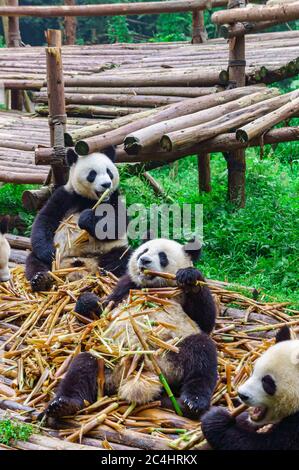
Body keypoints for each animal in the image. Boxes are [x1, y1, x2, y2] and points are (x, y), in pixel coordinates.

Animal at [24, 147, 130, 292]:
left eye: (109, 172)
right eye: (92, 174)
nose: (106, 184)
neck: (89, 200)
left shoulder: (114, 198)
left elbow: (118, 224)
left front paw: (87, 218)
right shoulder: (65, 195)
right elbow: (45, 219)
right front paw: (49, 252)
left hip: (111, 250)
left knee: (123, 257)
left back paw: (105, 272)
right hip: (56, 260)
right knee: (34, 261)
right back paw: (41, 280)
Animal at [42, 241, 218, 420]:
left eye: (163, 256)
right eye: (144, 250)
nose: (144, 260)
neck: (152, 288)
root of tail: (141, 372)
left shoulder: (180, 296)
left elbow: (205, 321)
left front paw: (190, 277)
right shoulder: (127, 287)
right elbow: (100, 314)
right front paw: (89, 301)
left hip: (172, 354)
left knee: (201, 354)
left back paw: (192, 403)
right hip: (109, 359)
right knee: (83, 366)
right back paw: (63, 405)